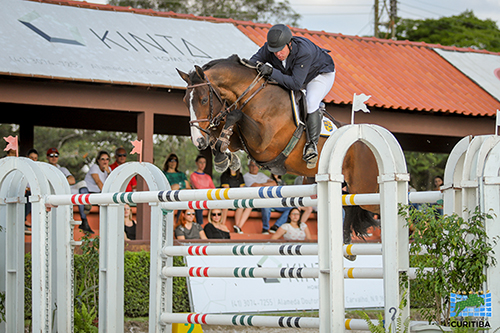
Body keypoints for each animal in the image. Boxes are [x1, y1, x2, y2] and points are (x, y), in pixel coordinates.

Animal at [178, 54, 376, 244]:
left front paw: (223, 153)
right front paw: (224, 158)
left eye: (204, 100)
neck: (253, 95)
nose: (198, 142)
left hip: (364, 189)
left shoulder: (262, 142)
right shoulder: (241, 139)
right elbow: (225, 131)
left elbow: (236, 115)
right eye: (184, 101)